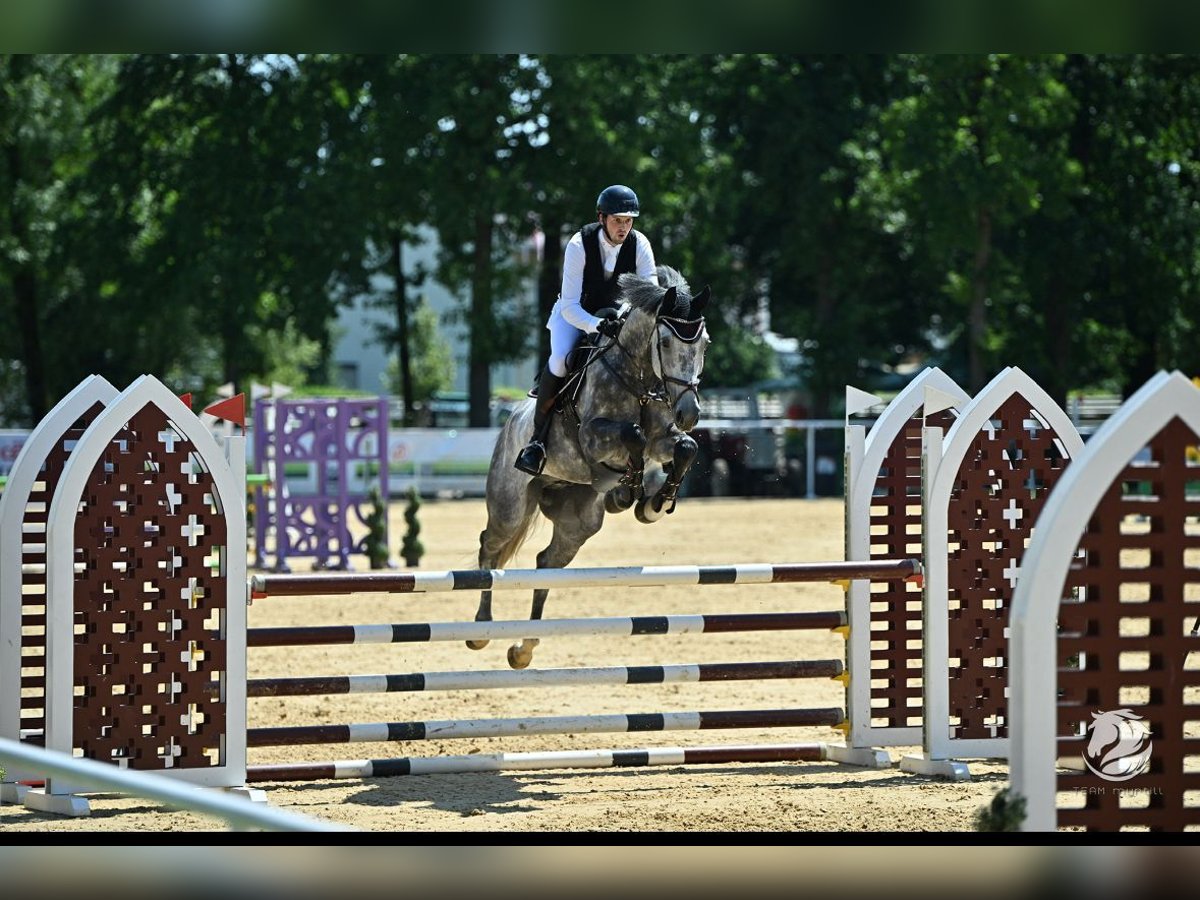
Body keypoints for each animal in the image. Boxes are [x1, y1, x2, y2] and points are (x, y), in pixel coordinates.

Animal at [470, 266, 710, 672]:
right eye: (664, 343)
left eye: (704, 344)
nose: (689, 413)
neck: (639, 378)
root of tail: (509, 423)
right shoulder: (593, 437)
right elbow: (631, 434)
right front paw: (630, 487)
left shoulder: (663, 438)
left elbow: (684, 447)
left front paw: (654, 502)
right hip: (509, 505)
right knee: (490, 545)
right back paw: (480, 630)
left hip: (577, 522)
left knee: (547, 563)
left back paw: (524, 648)